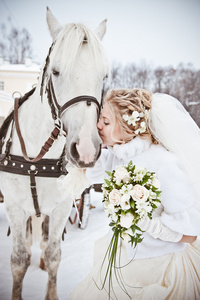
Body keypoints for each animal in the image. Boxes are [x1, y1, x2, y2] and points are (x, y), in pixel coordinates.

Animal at [0, 7, 108, 300]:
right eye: (56, 71)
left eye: (103, 76)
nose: (85, 148)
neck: (37, 159)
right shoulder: (14, 206)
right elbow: (19, 259)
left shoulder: (61, 207)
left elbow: (53, 255)